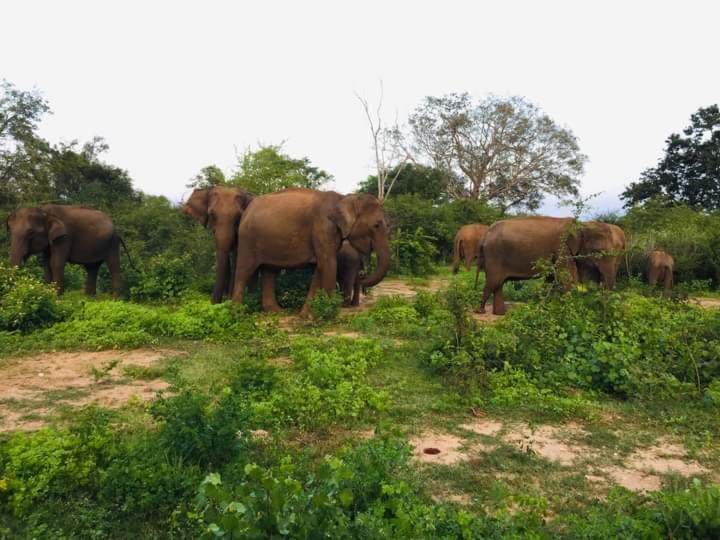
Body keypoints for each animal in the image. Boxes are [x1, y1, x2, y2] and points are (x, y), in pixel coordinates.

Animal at [229, 189, 388, 318]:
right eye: (376, 225)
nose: (362, 275)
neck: (344, 198)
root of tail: (248, 209)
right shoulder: (323, 227)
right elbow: (328, 264)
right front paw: (329, 315)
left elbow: (320, 267)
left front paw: (307, 316)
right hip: (247, 239)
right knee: (244, 270)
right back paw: (237, 313)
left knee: (270, 271)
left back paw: (276, 312)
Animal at [478, 217, 624, 314]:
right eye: (598, 252)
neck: (581, 224)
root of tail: (486, 234)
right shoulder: (562, 249)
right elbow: (568, 280)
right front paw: (567, 311)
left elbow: (550, 278)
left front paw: (544, 308)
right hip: (494, 254)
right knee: (493, 281)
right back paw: (480, 311)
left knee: (498, 283)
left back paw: (500, 314)